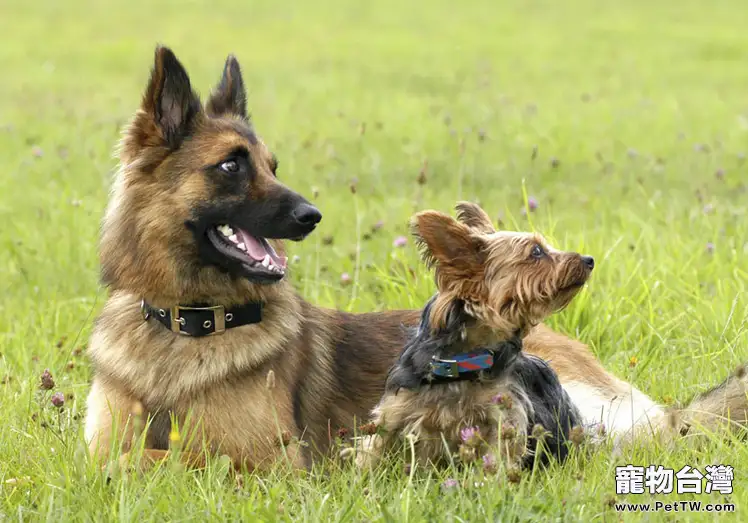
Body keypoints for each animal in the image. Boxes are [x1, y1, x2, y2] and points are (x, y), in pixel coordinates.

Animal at [354, 202, 592, 470]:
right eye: (537, 251)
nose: (589, 259)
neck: (466, 359)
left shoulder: (504, 415)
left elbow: (498, 457)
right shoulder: (396, 408)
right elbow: (373, 448)